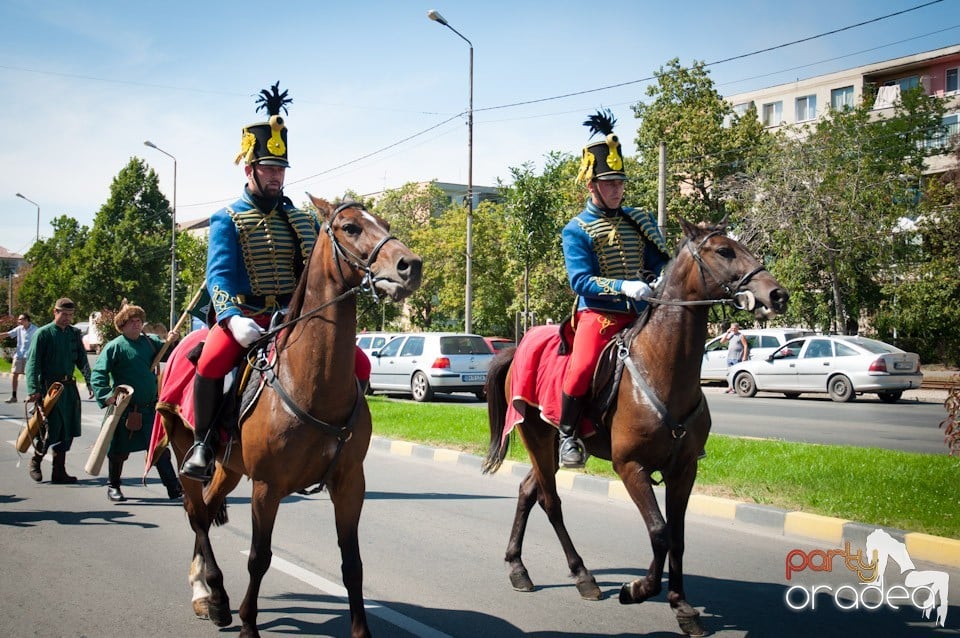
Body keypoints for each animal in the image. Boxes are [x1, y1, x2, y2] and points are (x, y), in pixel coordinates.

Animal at [159, 196, 422, 638]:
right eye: (350, 227)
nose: (410, 265)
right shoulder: (267, 487)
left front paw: (361, 631)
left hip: (229, 468)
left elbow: (352, 564)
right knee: (196, 514)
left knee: (208, 510)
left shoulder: (350, 484)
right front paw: (249, 625)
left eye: (385, 223)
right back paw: (211, 594)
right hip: (186, 453)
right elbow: (259, 557)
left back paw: (212, 595)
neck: (311, 382)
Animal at [484, 220, 784, 636]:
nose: (777, 294)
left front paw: (682, 606)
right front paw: (638, 589)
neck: (663, 369)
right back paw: (582, 576)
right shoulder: (630, 467)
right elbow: (659, 531)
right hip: (537, 439)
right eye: (724, 251)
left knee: (528, 490)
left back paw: (518, 567)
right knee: (550, 501)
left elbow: (676, 536)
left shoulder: (684, 469)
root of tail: (516, 347)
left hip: (546, 447)